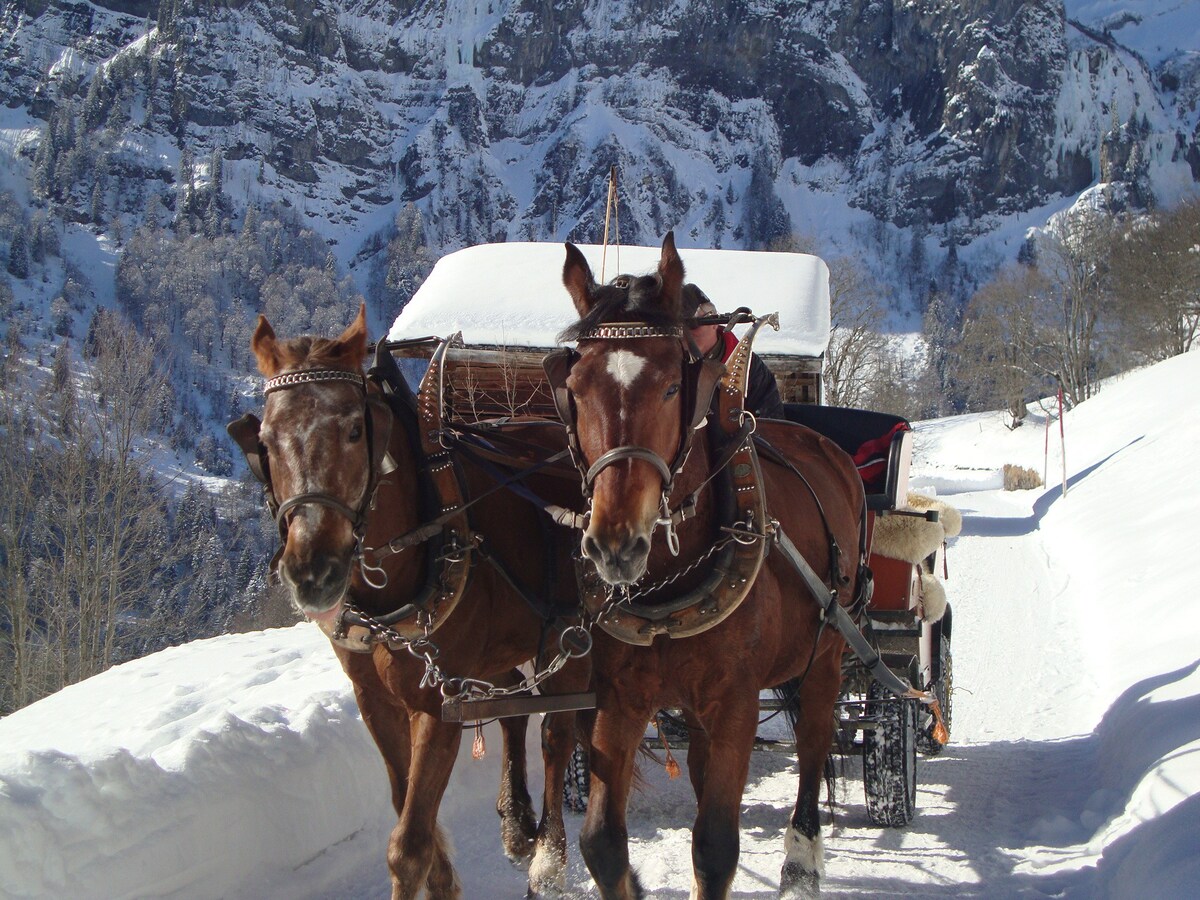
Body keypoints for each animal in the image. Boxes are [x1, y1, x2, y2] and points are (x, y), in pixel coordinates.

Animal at [235, 307, 590, 897]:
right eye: (265, 439)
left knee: (558, 733)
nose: (313, 572)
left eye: (355, 430)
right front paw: (445, 878)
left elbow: (409, 845)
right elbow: (407, 807)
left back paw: (550, 856)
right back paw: (517, 822)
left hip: (572, 632)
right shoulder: (375, 699)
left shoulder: (438, 702)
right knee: (516, 714)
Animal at [549, 237, 868, 900]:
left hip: (827, 650)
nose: (615, 544)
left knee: (814, 742)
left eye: (674, 386)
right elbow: (602, 844)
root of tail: (827, 446)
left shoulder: (735, 705)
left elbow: (716, 847)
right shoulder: (619, 700)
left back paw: (802, 862)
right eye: (576, 386)